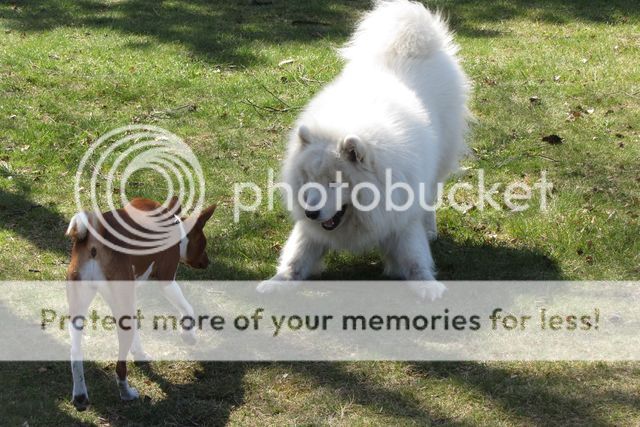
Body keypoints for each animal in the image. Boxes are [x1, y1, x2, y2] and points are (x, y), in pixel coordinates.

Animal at [65, 197, 215, 411]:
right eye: (204, 243)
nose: (208, 262)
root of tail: (95, 240)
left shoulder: (130, 297)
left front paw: (139, 352)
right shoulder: (166, 280)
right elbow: (187, 308)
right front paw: (189, 335)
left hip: (81, 308)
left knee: (75, 353)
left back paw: (80, 396)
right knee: (120, 367)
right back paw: (126, 393)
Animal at [261, 0, 470, 298]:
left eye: (335, 182)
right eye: (309, 181)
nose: (310, 212)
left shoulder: (400, 220)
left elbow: (414, 259)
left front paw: (428, 285)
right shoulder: (312, 232)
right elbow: (296, 257)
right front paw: (277, 280)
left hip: (440, 160)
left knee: (431, 196)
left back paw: (430, 228)